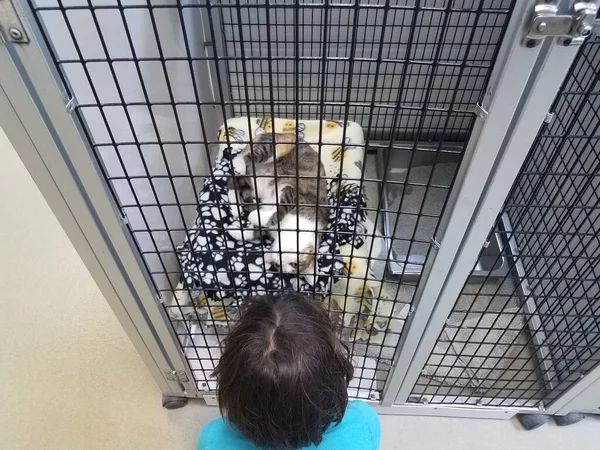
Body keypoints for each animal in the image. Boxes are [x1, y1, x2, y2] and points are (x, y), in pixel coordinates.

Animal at [227, 132, 328, 280]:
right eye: (294, 264)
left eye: (278, 267)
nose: (278, 262)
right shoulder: (295, 194)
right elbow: (281, 209)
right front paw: (254, 217)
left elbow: (257, 231)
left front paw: (236, 231)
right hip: (276, 146)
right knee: (246, 158)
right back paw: (239, 164)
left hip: (254, 183)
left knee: (236, 181)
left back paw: (237, 205)